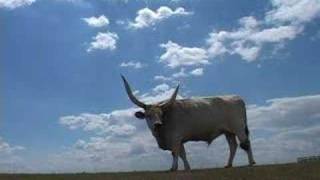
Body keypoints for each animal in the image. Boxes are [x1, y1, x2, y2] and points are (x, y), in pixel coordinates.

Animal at [121, 75, 256, 171]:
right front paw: (187, 168)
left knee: (246, 143)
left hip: (239, 128)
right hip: (228, 132)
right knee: (233, 146)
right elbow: (183, 154)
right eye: (148, 115)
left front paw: (173, 168)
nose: (157, 124)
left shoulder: (175, 138)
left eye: (161, 114)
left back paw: (251, 163)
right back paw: (228, 165)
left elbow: (175, 153)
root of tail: (236, 97)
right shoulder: (179, 140)